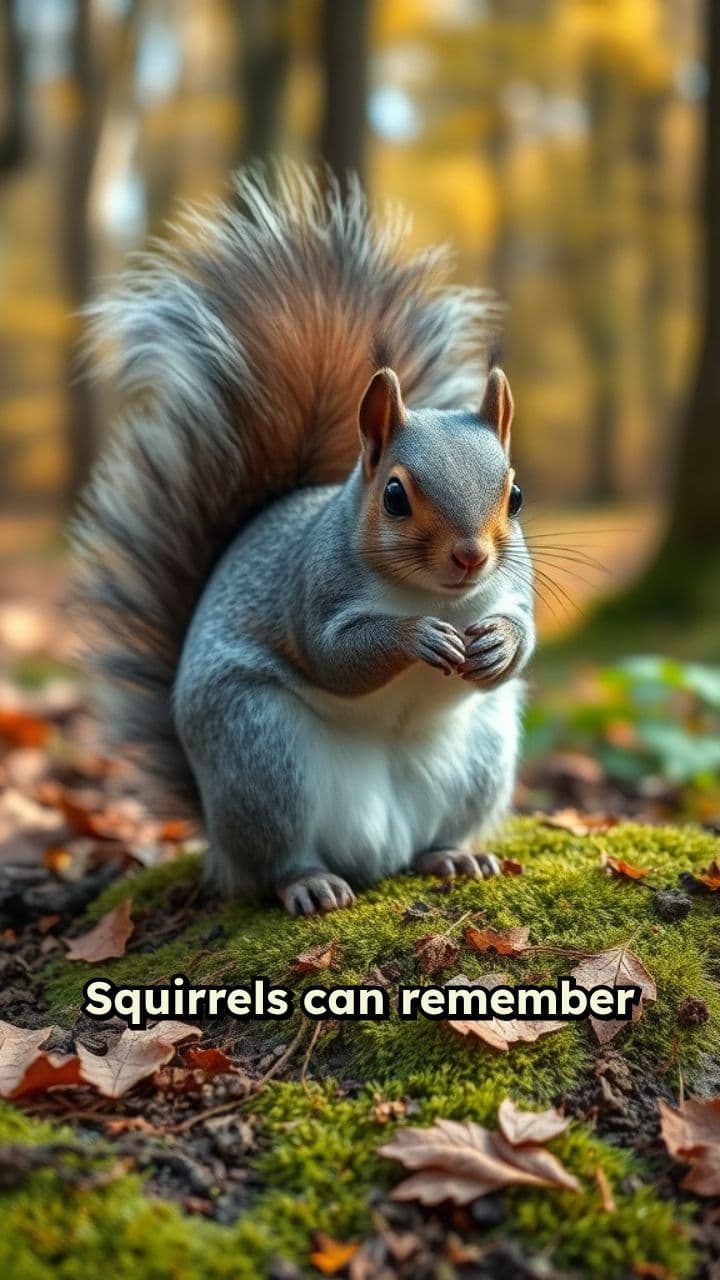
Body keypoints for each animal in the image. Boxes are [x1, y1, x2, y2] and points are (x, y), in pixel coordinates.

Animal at [74, 165, 535, 916]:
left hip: (480, 760)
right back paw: (311, 882)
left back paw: (452, 855)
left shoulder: (514, 588)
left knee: (435, 834)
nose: (471, 556)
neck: (433, 593)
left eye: (516, 496)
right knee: (277, 858)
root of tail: (376, 851)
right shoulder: (312, 588)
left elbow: (525, 638)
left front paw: (496, 643)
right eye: (395, 496)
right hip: (261, 755)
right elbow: (334, 656)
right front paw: (416, 637)